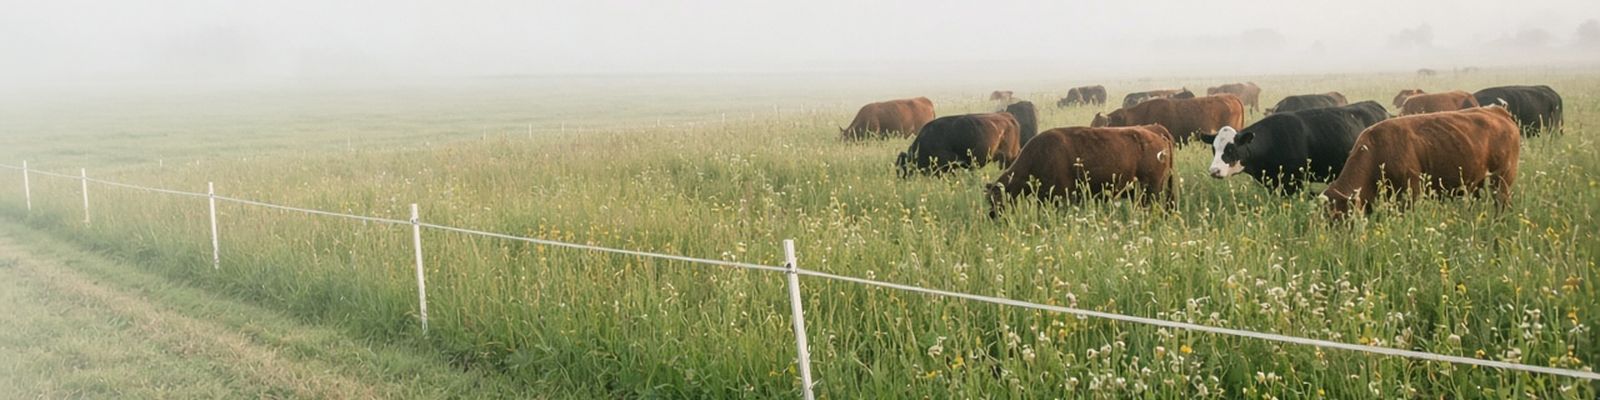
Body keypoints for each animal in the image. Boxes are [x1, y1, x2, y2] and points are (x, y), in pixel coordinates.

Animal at [1322, 106, 1520, 220]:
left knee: (1501, 202)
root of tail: (1497, 111)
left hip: (1502, 178)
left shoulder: (1412, 189)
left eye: (1340, 215)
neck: (1376, 149)